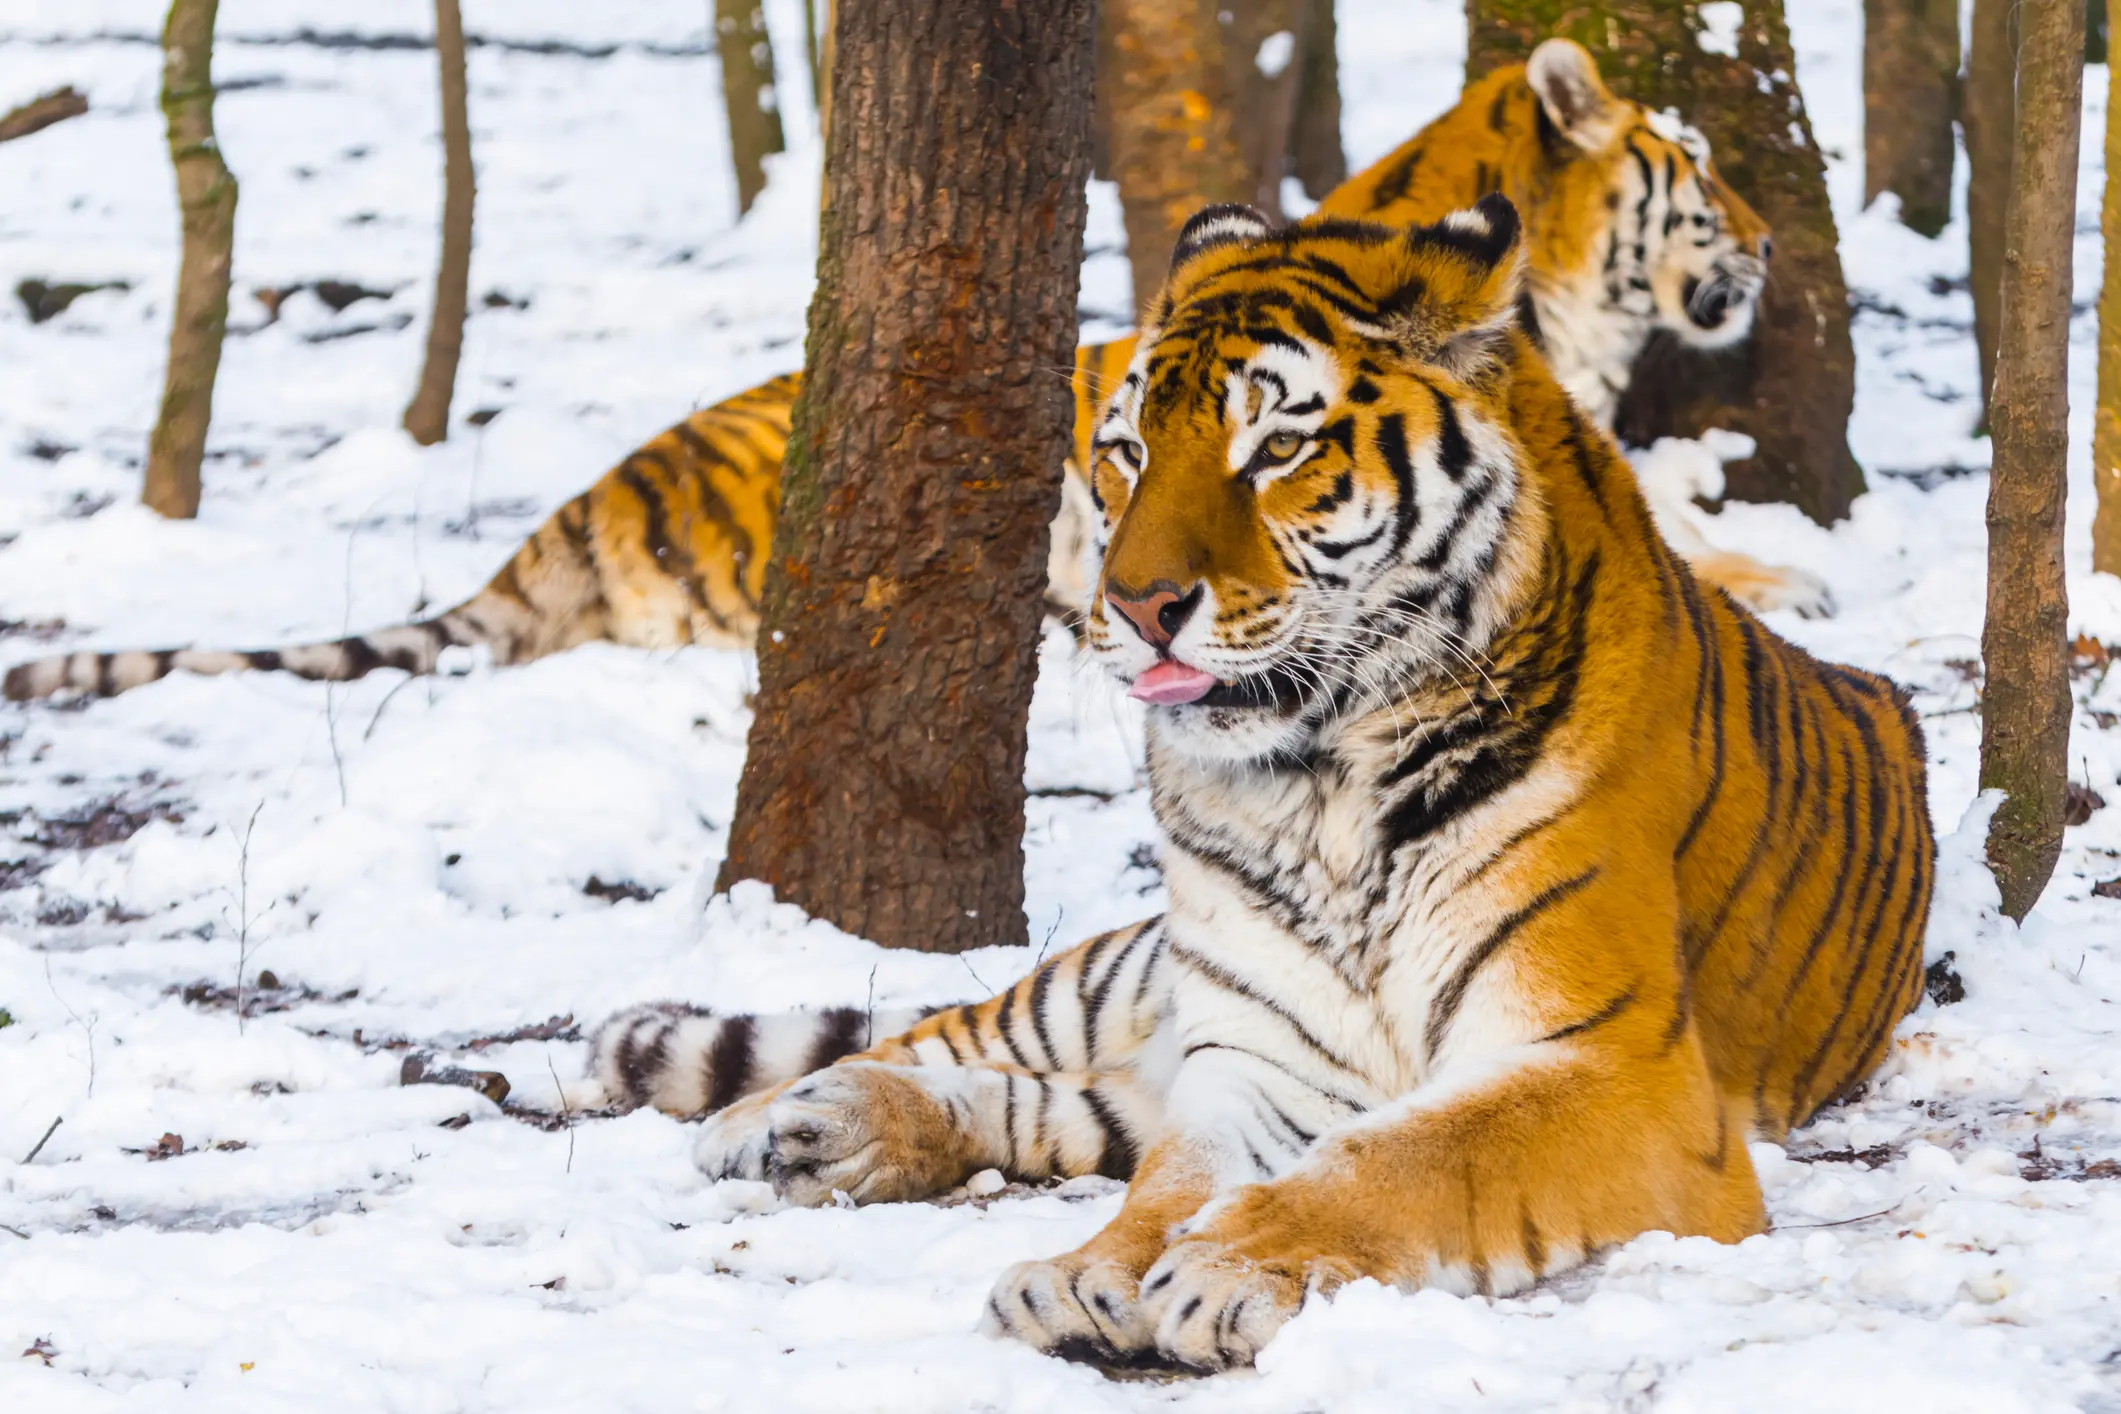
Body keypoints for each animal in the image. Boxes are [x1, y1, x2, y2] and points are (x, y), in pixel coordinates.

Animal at [572, 193, 1934, 1365]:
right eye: (1123, 452)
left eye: (1276, 446)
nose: (1133, 605)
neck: (1320, 779)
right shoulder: (1250, 1056)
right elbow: (1171, 1180)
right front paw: (1092, 1271)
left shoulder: (1614, 1065)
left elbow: (1413, 1157)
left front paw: (1229, 1267)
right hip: (1108, 977)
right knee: (949, 1035)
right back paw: (778, 1118)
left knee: (1067, 1104)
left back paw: (832, 1132)